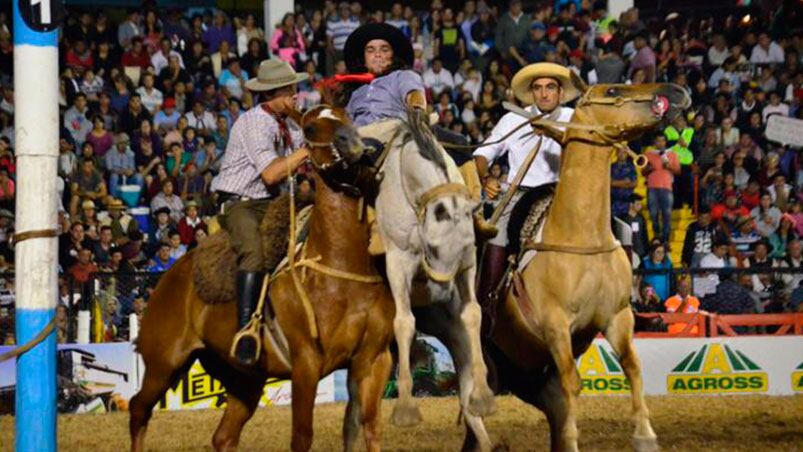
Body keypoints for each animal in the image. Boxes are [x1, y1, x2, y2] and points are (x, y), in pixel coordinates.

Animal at [127, 106, 398, 452]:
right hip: (164, 363)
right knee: (138, 408)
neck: (340, 267)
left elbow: (371, 427)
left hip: (243, 378)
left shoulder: (374, 359)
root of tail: (166, 280)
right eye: (310, 127)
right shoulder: (306, 363)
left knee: (224, 437)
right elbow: (302, 437)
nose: (353, 144)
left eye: (345, 116)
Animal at [376, 108, 496, 448]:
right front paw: (405, 408)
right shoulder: (398, 261)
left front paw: (484, 396)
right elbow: (404, 322)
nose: (441, 294)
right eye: (433, 245)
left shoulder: (468, 261)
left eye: (462, 247)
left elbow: (473, 314)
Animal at [468, 79, 696, 450]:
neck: (580, 236)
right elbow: (572, 384)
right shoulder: (555, 325)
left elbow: (632, 367)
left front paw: (645, 434)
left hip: (525, 372)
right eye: (613, 91)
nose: (675, 92)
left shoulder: (617, 317)